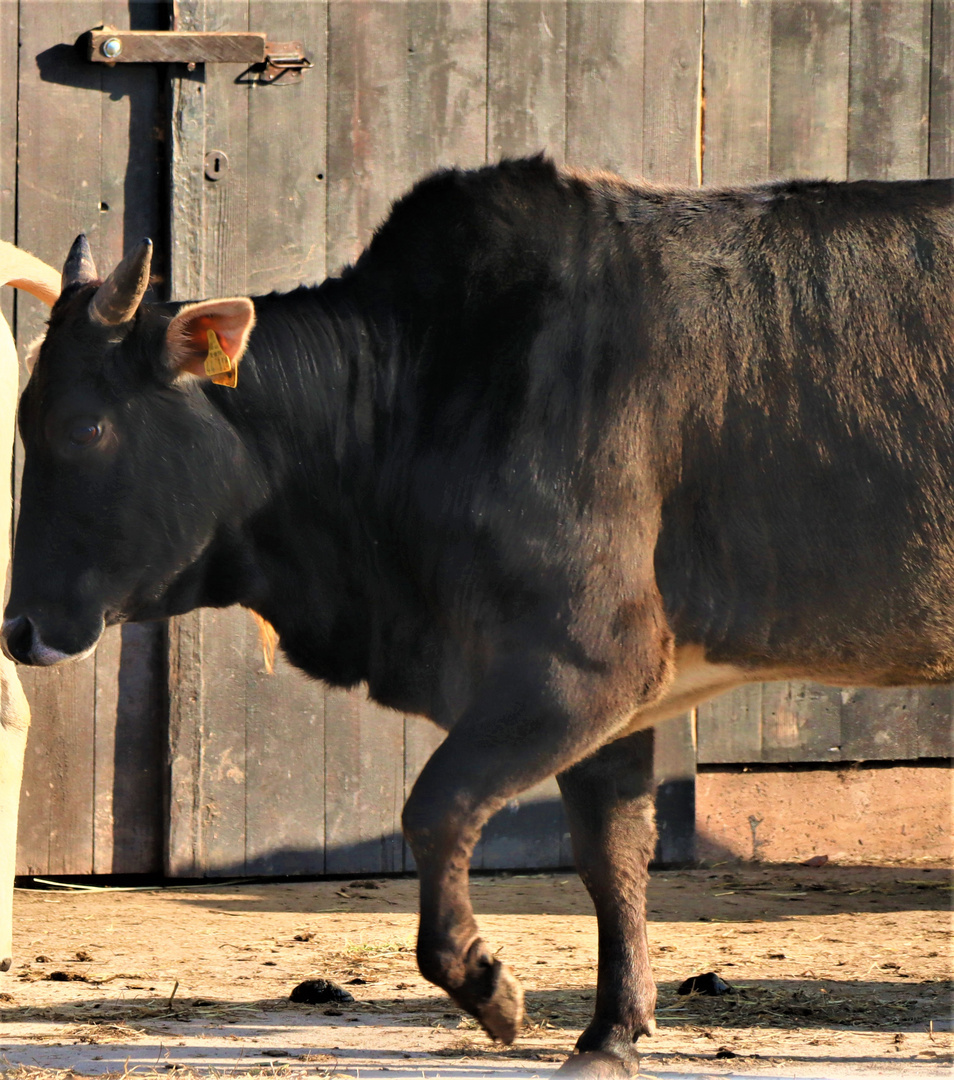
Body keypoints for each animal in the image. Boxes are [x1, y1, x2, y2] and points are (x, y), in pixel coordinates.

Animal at [1, 156, 954, 1075]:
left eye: (85, 427)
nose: (19, 629)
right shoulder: (602, 696)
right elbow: (611, 851)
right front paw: (610, 1034)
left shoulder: (582, 662)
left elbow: (438, 807)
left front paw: (487, 986)